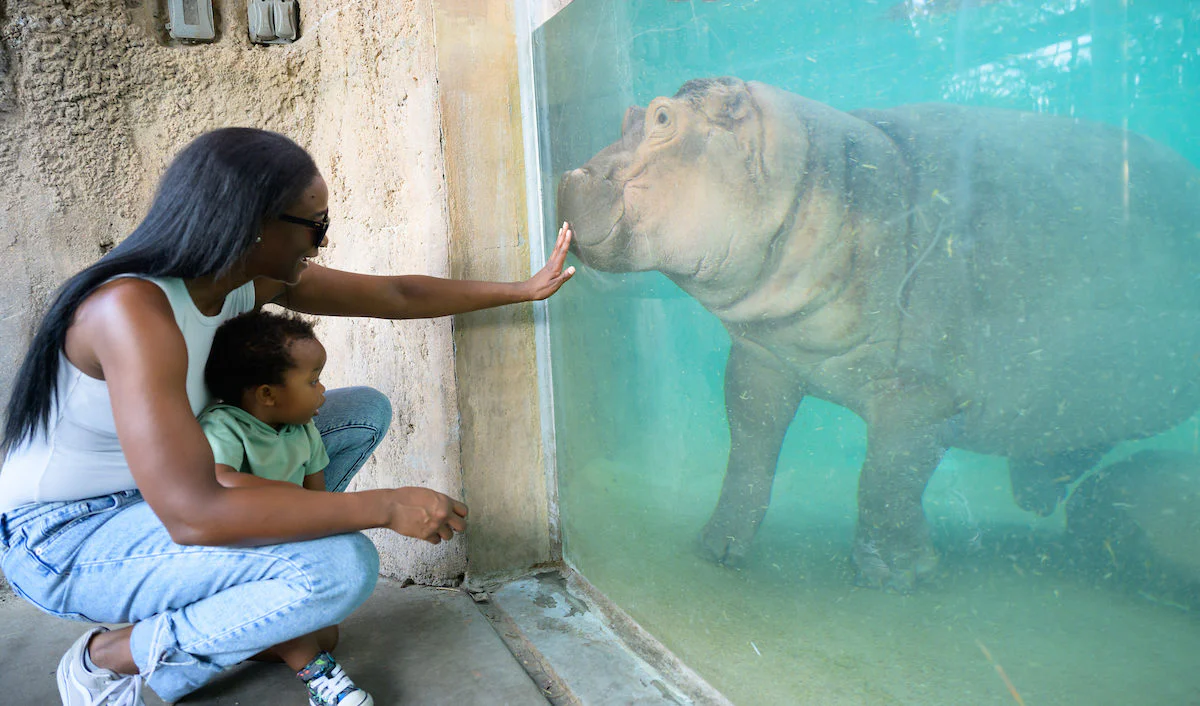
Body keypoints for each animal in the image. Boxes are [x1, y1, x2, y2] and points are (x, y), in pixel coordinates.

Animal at [557, 77, 1200, 591]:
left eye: (663, 118)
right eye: (627, 115)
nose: (567, 176)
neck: (831, 175)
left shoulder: (922, 393)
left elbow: (885, 479)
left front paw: (895, 576)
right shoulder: (763, 358)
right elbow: (749, 452)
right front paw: (717, 549)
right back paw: (1038, 497)